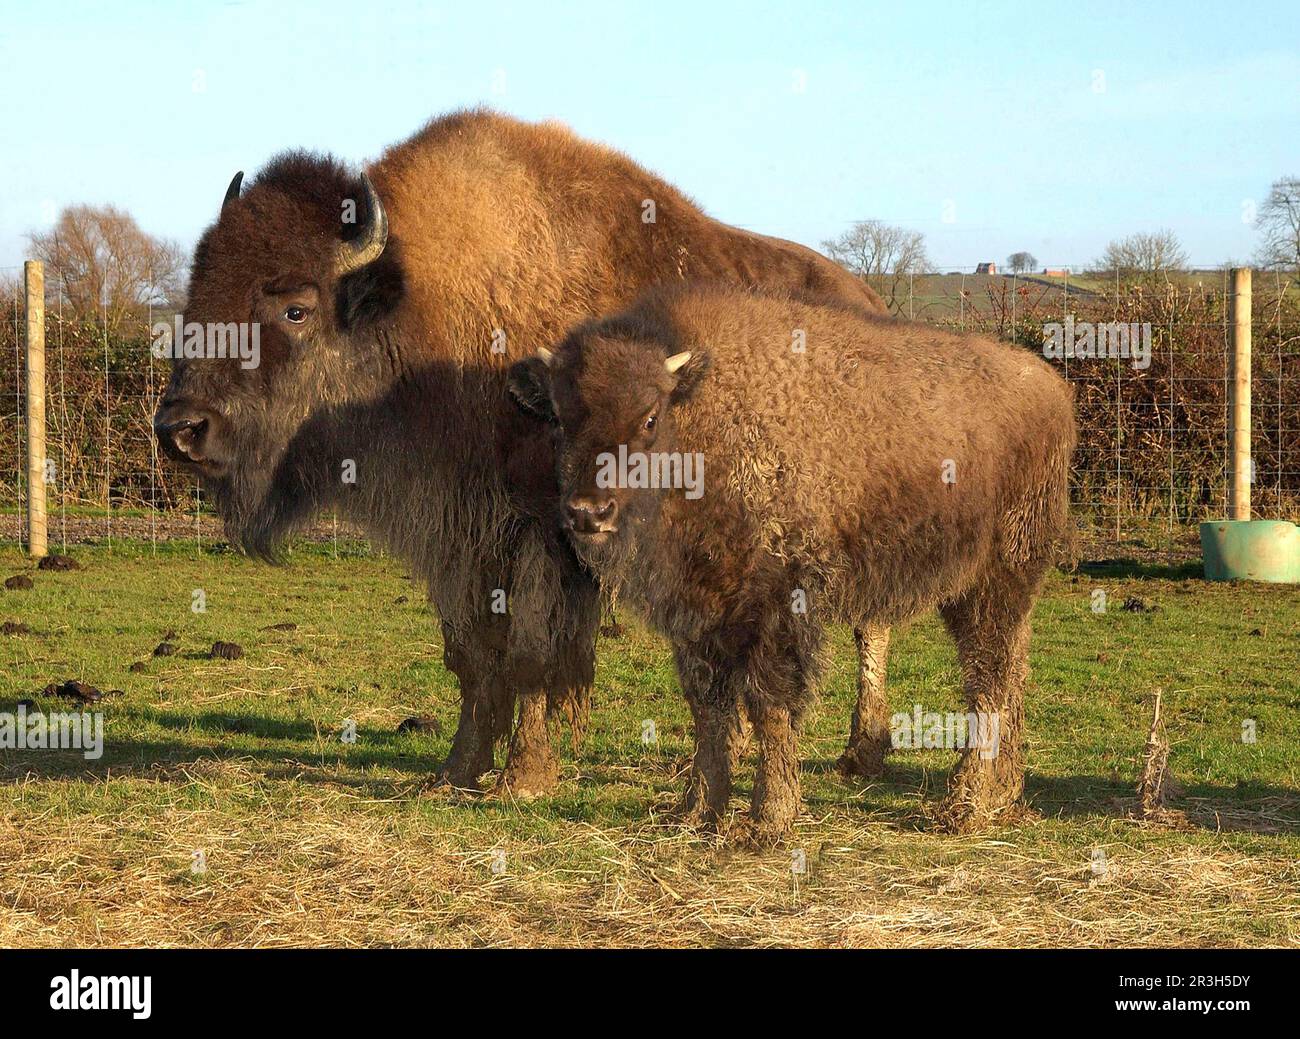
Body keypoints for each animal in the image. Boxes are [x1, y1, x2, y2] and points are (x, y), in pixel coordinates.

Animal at [152, 109, 889, 795]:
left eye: (296, 309)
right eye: (197, 291)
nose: (180, 428)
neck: (425, 306)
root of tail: (871, 300)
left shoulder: (548, 530)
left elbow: (535, 653)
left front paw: (526, 777)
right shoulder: (458, 534)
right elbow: (472, 654)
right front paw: (457, 769)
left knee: (870, 622)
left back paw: (862, 754)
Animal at [506, 282, 1076, 837]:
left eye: (649, 417)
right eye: (560, 419)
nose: (588, 512)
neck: (703, 420)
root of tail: (1052, 389)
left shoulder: (776, 605)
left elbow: (770, 703)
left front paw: (769, 818)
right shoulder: (698, 610)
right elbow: (707, 705)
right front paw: (696, 810)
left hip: (997, 578)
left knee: (990, 676)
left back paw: (964, 804)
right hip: (984, 587)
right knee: (1011, 667)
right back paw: (1004, 793)